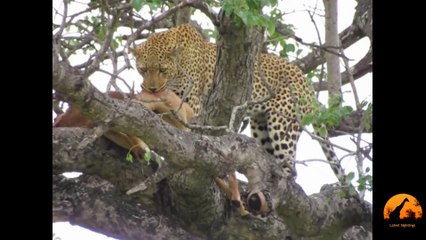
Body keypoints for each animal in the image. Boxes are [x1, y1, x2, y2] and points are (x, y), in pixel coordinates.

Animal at [131, 23, 350, 210]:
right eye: (142, 70)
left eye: (162, 69)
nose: (151, 88)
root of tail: (304, 80)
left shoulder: (191, 103)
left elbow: (184, 131)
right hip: (261, 127)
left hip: (282, 125)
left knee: (290, 169)